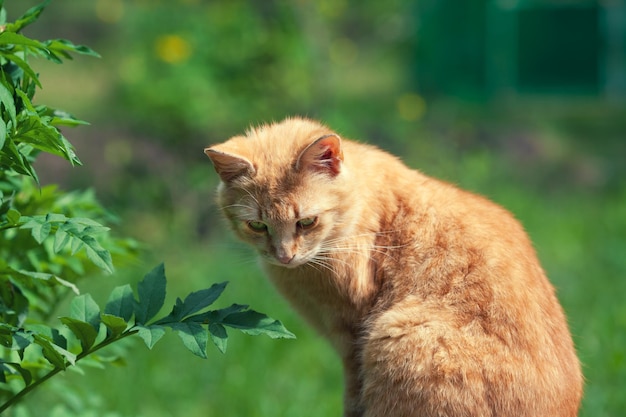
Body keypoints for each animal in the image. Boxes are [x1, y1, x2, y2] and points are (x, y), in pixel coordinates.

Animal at [204, 117, 580, 416]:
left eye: (307, 222)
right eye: (258, 226)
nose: (283, 256)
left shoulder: (351, 337)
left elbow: (353, 395)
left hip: (400, 336)